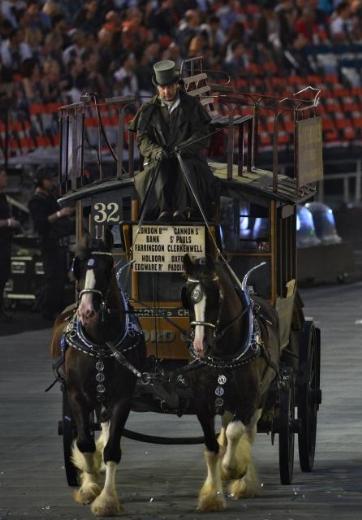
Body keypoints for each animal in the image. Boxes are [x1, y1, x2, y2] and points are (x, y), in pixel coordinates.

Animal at [49, 235, 146, 516]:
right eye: (78, 269)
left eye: (107, 270)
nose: (87, 311)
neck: (101, 342)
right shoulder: (76, 396)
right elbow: (84, 443)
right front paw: (88, 485)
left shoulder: (122, 399)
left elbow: (112, 449)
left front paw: (106, 499)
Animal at [181, 256, 280, 512]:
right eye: (188, 298)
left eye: (216, 298)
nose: (199, 345)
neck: (224, 353)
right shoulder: (202, 402)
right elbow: (212, 446)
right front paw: (211, 495)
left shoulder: (248, 400)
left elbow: (237, 432)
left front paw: (231, 470)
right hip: (226, 400)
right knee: (225, 429)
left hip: (261, 397)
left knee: (247, 432)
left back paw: (244, 482)